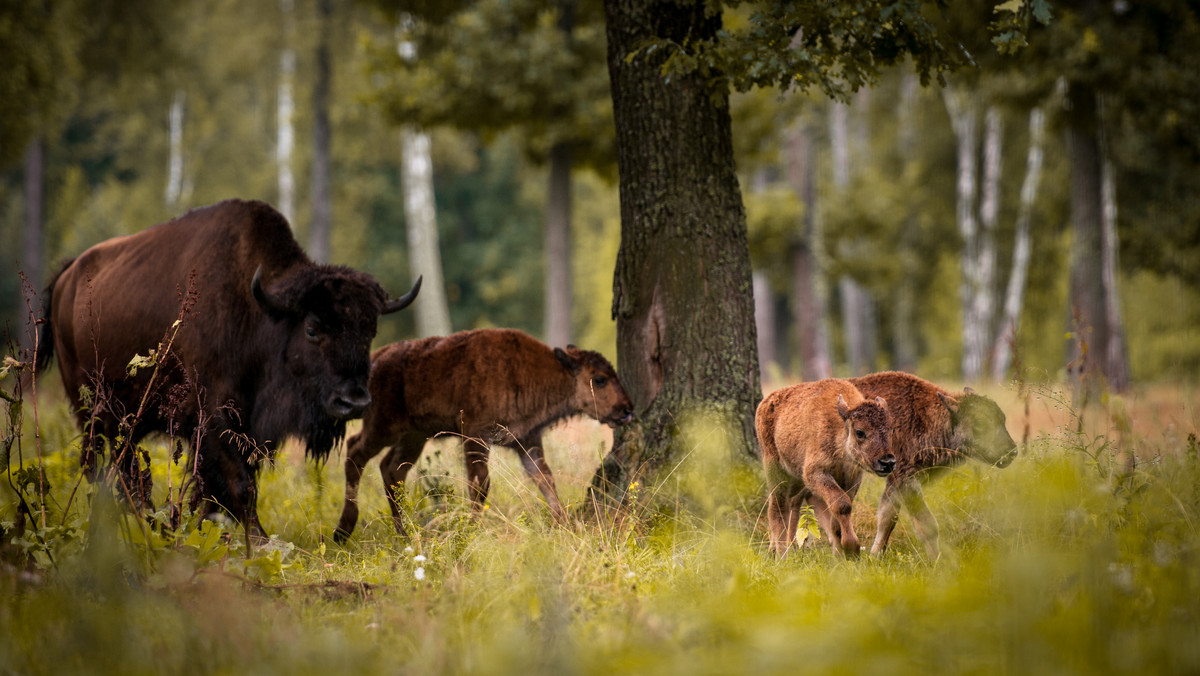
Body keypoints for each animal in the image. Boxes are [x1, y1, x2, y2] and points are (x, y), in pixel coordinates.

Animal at [36, 198, 422, 537]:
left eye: (370, 331)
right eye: (312, 329)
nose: (354, 402)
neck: (259, 313)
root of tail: (66, 278)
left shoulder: (246, 427)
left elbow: (222, 489)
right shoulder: (211, 418)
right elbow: (238, 486)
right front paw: (260, 540)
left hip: (128, 420)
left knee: (123, 472)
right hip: (92, 412)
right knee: (102, 469)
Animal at [336, 328, 638, 545]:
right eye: (599, 379)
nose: (627, 409)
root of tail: (378, 357)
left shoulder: (528, 442)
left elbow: (546, 480)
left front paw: (564, 524)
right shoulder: (476, 437)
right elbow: (480, 485)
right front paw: (471, 530)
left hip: (414, 435)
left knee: (392, 470)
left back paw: (404, 534)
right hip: (383, 427)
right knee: (355, 452)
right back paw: (343, 530)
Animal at [758, 379, 892, 557]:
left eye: (890, 428)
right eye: (860, 432)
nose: (888, 462)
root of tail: (766, 402)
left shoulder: (852, 478)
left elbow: (838, 512)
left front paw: (843, 550)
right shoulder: (815, 473)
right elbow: (842, 504)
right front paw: (852, 547)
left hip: (796, 478)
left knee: (792, 503)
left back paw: (784, 549)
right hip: (775, 469)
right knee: (777, 506)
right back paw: (782, 553)